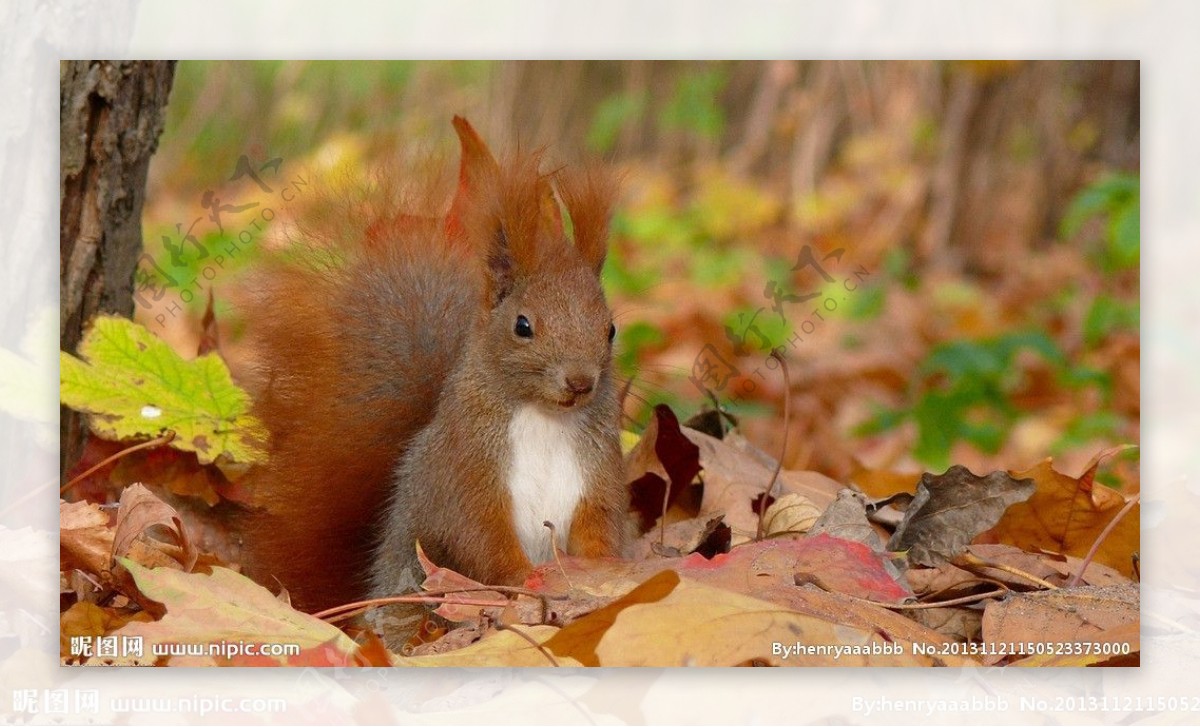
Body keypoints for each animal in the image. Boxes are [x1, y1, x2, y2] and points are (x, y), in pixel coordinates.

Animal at [236, 116, 628, 643]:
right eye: (523, 325)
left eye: (610, 329)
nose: (581, 382)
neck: (544, 417)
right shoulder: (466, 471)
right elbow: (481, 537)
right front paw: (527, 582)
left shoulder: (597, 471)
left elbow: (599, 528)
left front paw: (603, 576)